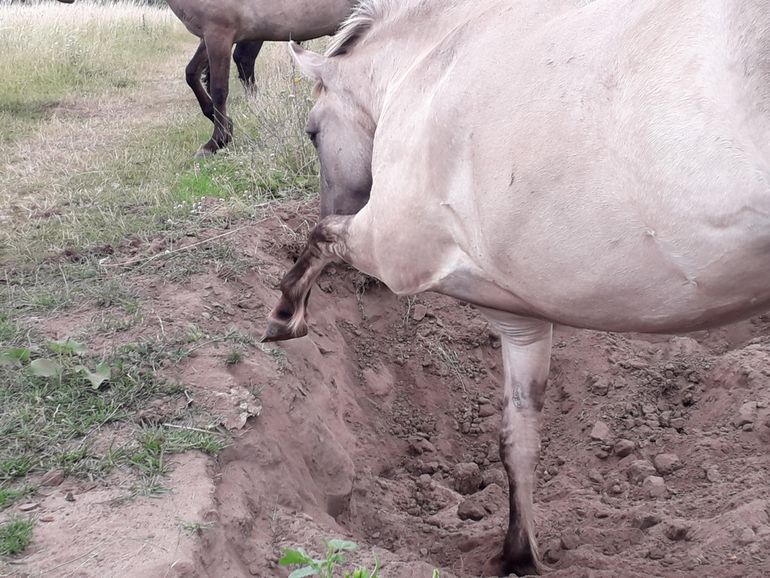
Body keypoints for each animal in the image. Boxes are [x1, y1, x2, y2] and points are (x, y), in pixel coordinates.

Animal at [264, 1, 768, 572]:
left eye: (312, 132)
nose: (332, 200)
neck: (425, 70)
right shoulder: (522, 323)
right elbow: (517, 440)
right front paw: (520, 555)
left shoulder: (394, 250)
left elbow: (322, 237)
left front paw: (286, 314)